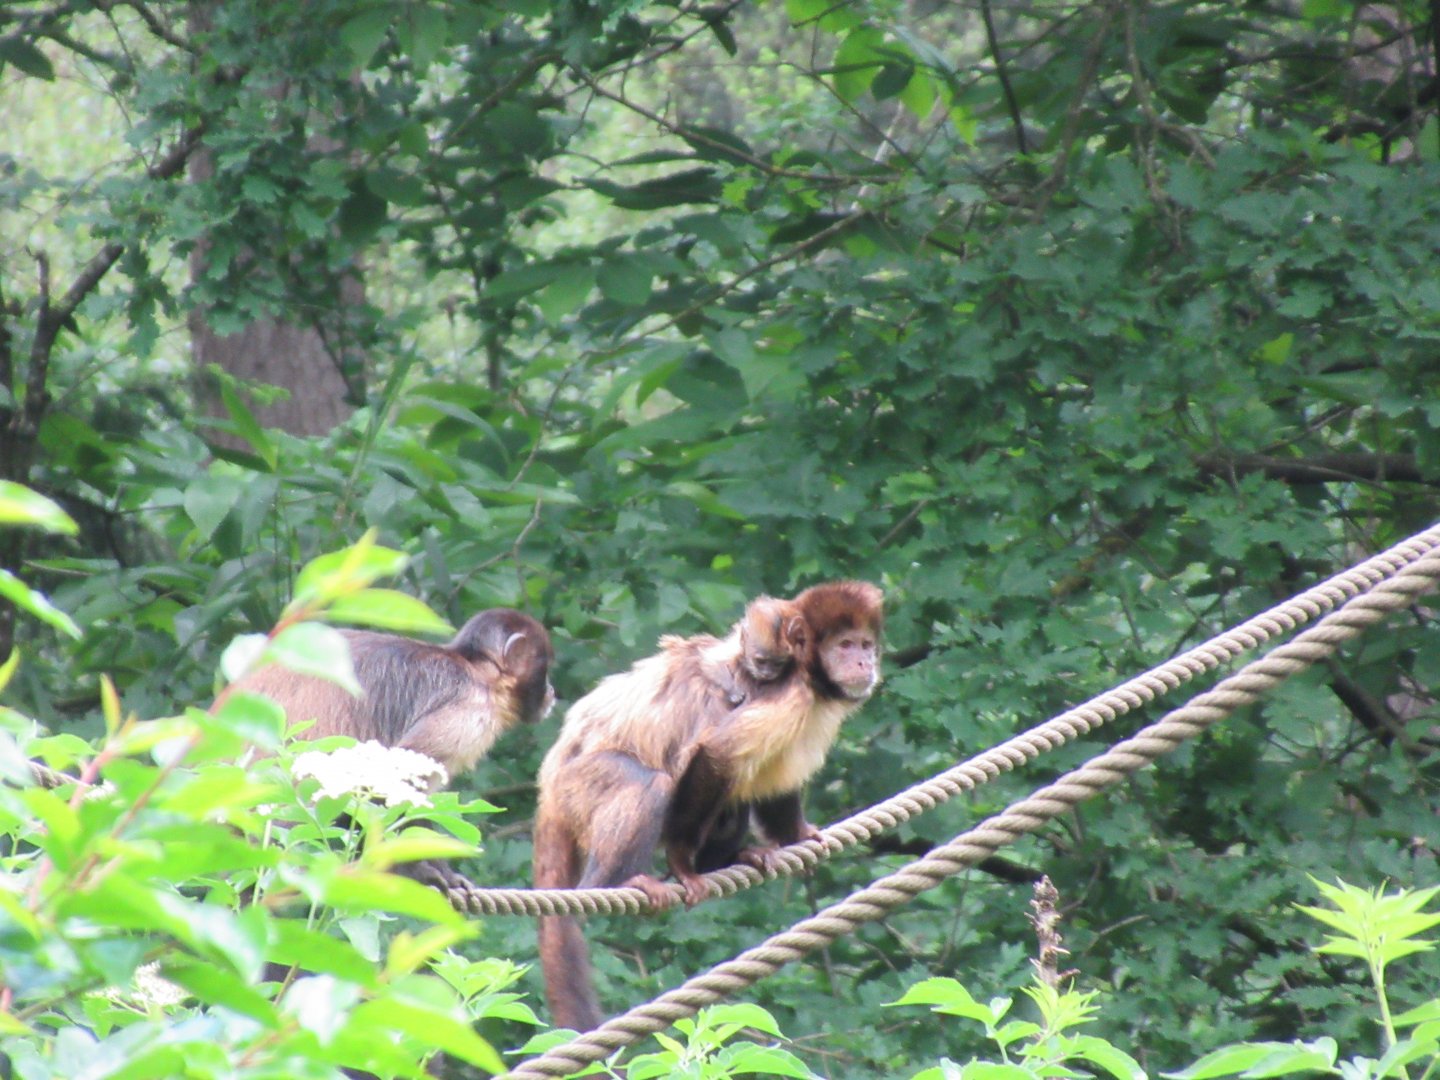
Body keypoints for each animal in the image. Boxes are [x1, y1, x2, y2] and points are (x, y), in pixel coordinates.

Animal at [533, 581, 882, 1032]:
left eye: (865, 645)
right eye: (844, 646)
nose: (863, 660)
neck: (806, 673)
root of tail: (550, 778)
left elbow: (772, 782)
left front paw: (797, 834)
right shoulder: (789, 695)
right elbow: (716, 755)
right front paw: (683, 864)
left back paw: (730, 858)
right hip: (577, 786)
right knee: (658, 783)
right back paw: (614, 882)